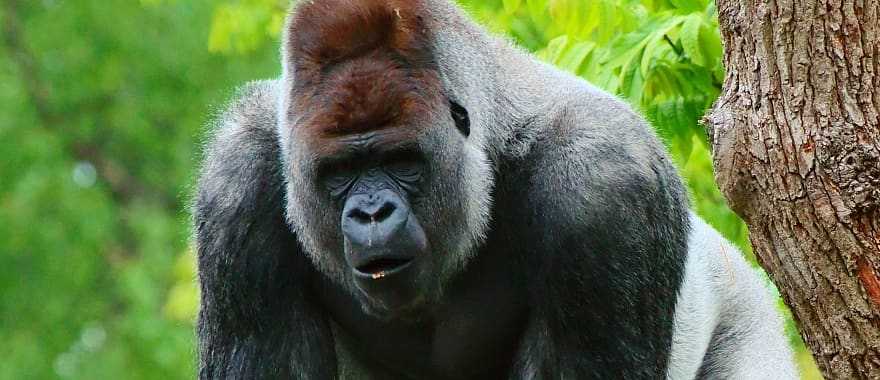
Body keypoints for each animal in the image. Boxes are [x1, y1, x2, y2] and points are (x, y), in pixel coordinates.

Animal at [196, 0, 800, 378]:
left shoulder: (604, 183)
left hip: (747, 314)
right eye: (339, 173)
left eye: (401, 161)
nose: (371, 214)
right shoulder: (236, 178)